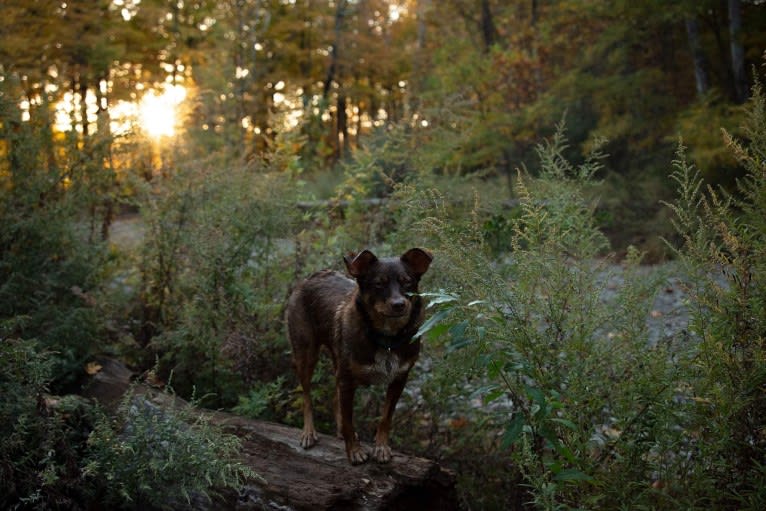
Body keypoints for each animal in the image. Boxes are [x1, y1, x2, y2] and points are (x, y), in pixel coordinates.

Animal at [286, 248, 436, 464]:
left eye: (407, 282)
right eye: (379, 284)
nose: (399, 304)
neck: (387, 337)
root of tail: (311, 277)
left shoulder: (399, 378)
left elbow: (385, 417)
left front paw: (381, 447)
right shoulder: (347, 380)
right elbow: (349, 421)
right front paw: (355, 451)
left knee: (334, 397)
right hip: (305, 354)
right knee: (306, 395)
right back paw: (308, 432)